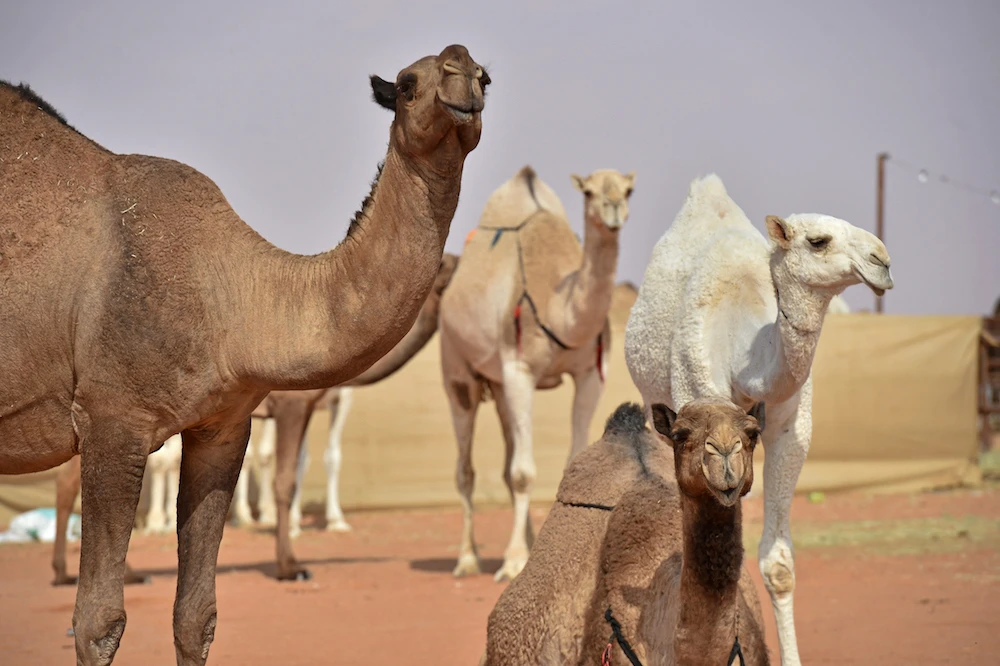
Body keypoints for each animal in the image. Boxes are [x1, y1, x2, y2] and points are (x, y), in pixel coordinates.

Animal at [0, 43, 487, 666]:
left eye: (485, 78)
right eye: (406, 84)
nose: (460, 72)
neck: (233, 298)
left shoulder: (224, 424)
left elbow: (197, 615)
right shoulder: (114, 418)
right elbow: (97, 622)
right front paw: (289, 566)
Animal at [440, 166, 634, 582]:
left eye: (629, 189)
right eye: (589, 191)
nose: (613, 209)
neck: (557, 306)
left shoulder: (592, 373)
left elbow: (571, 461)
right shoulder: (519, 370)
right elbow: (523, 473)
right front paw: (513, 562)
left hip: (498, 388)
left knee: (507, 457)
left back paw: (527, 545)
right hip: (457, 368)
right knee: (466, 469)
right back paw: (468, 558)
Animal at [624, 174, 893, 666]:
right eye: (818, 241)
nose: (882, 260)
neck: (743, 354)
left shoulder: (790, 427)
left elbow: (778, 563)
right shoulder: (694, 402)